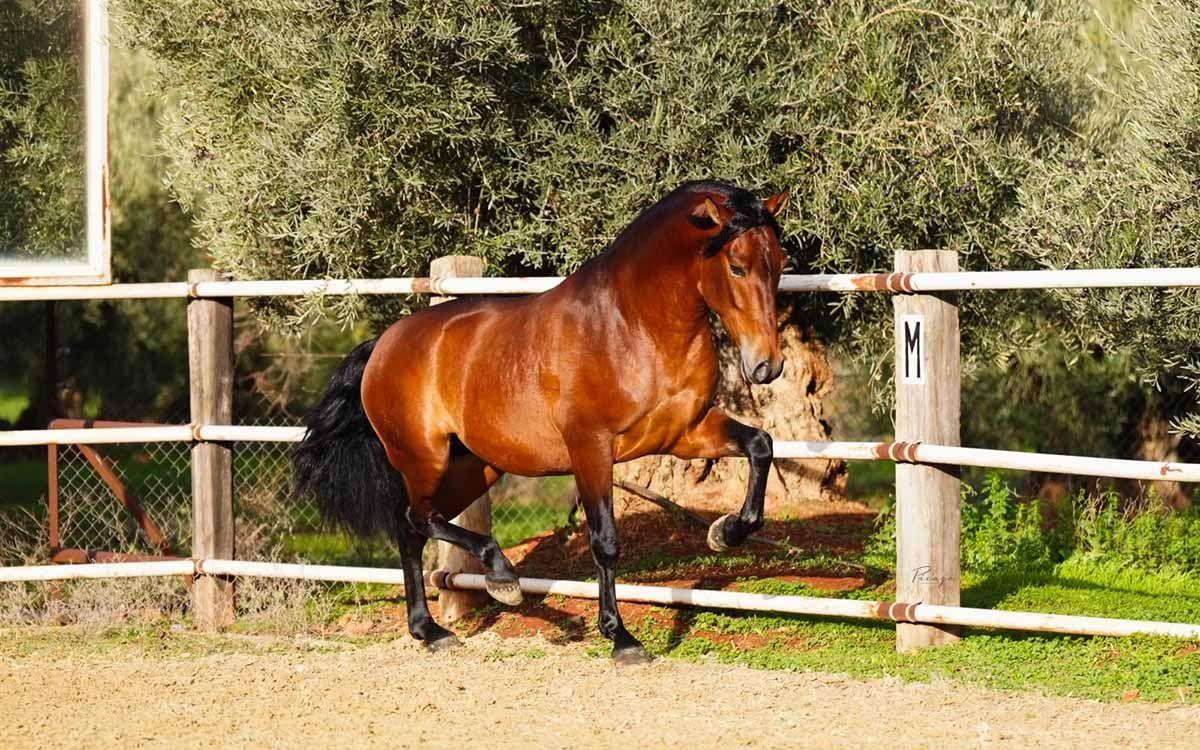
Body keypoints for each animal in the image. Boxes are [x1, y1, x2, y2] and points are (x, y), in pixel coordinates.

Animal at [293, 180, 790, 664]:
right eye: (737, 267)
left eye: (780, 263)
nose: (767, 366)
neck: (632, 326)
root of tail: (383, 344)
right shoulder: (591, 449)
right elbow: (605, 540)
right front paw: (621, 639)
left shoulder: (685, 433)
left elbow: (760, 445)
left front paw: (724, 533)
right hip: (424, 459)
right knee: (417, 518)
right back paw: (501, 580)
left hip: (472, 468)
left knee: (413, 527)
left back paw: (432, 630)